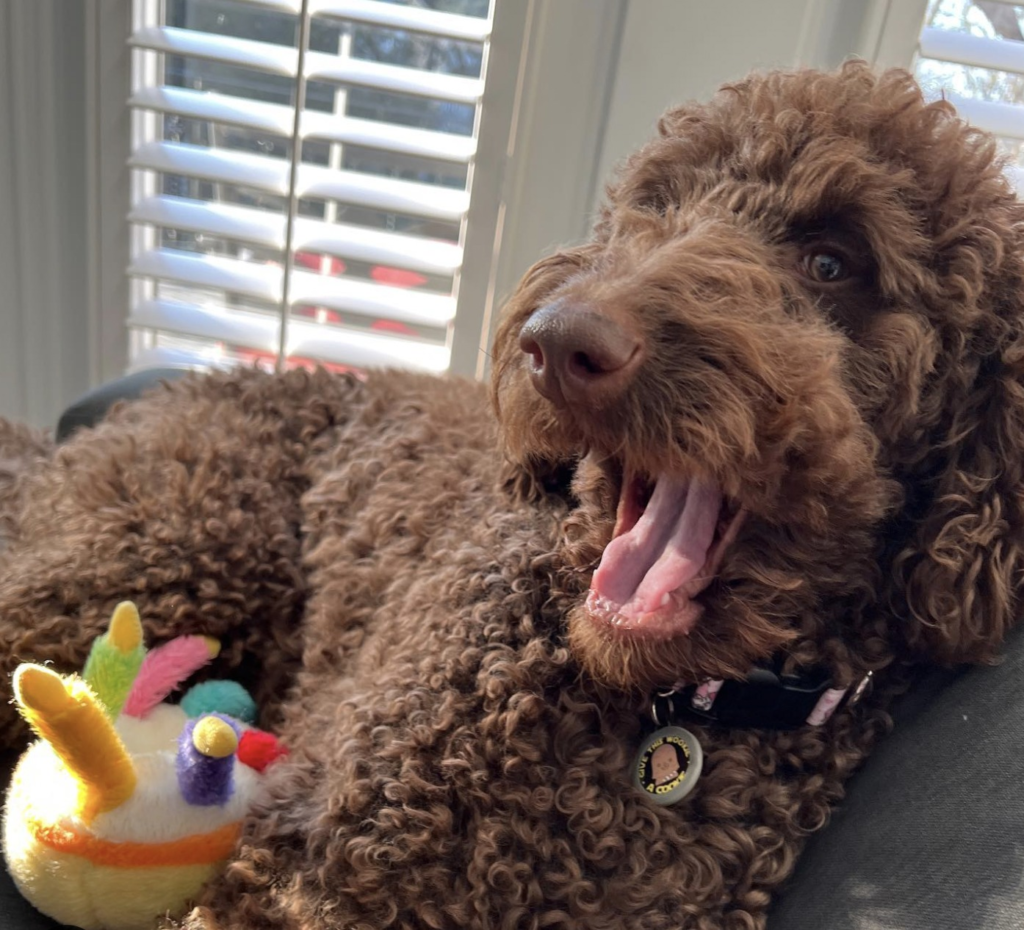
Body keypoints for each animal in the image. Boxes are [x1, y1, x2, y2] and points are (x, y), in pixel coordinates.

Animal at [2, 61, 1024, 925]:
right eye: (653, 210)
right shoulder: (305, 867)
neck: (660, 712)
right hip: (168, 549)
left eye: (833, 262)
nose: (559, 341)